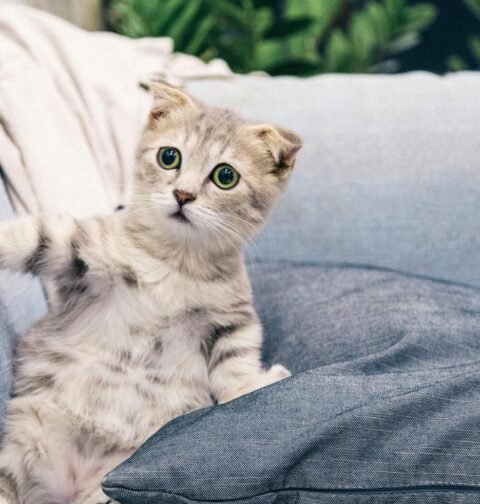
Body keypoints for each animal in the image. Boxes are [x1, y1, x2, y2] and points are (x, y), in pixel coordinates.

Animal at [0, 81, 302, 504]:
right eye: (169, 156)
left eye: (225, 176)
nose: (183, 195)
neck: (177, 263)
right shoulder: (82, 251)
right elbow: (32, 236)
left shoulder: (232, 319)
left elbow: (234, 367)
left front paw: (253, 384)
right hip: (19, 450)